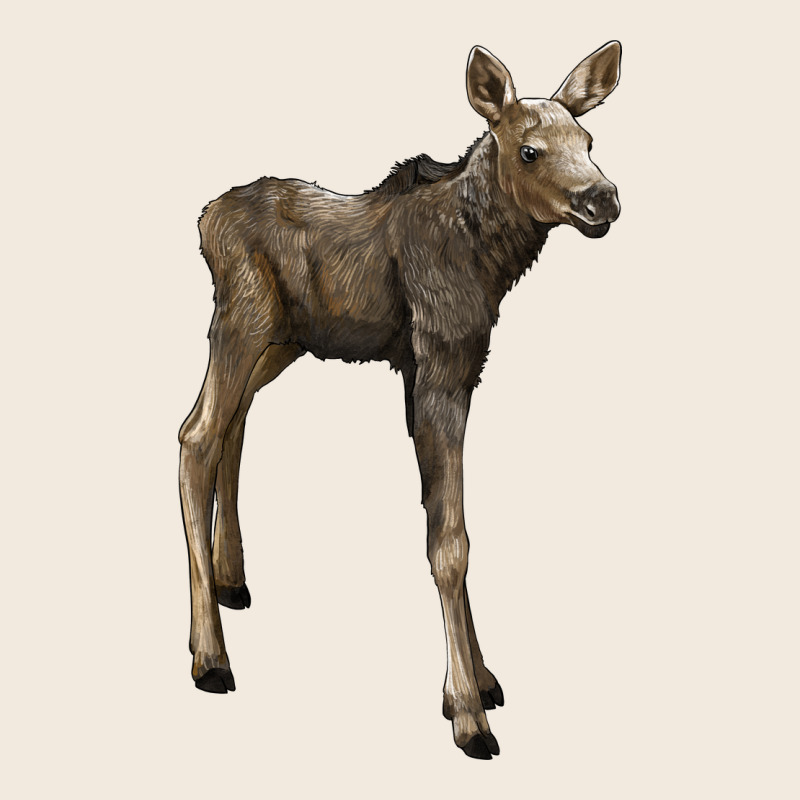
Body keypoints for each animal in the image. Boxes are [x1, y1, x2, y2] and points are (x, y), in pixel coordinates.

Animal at [179, 42, 622, 759]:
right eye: (530, 150)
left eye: (587, 140)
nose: (602, 197)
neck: (487, 260)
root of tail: (204, 217)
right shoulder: (438, 365)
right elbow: (450, 540)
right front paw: (469, 713)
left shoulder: (453, 370)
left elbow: (448, 520)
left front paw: (479, 682)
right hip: (242, 319)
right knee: (195, 435)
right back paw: (210, 657)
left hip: (282, 340)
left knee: (232, 424)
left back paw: (231, 580)